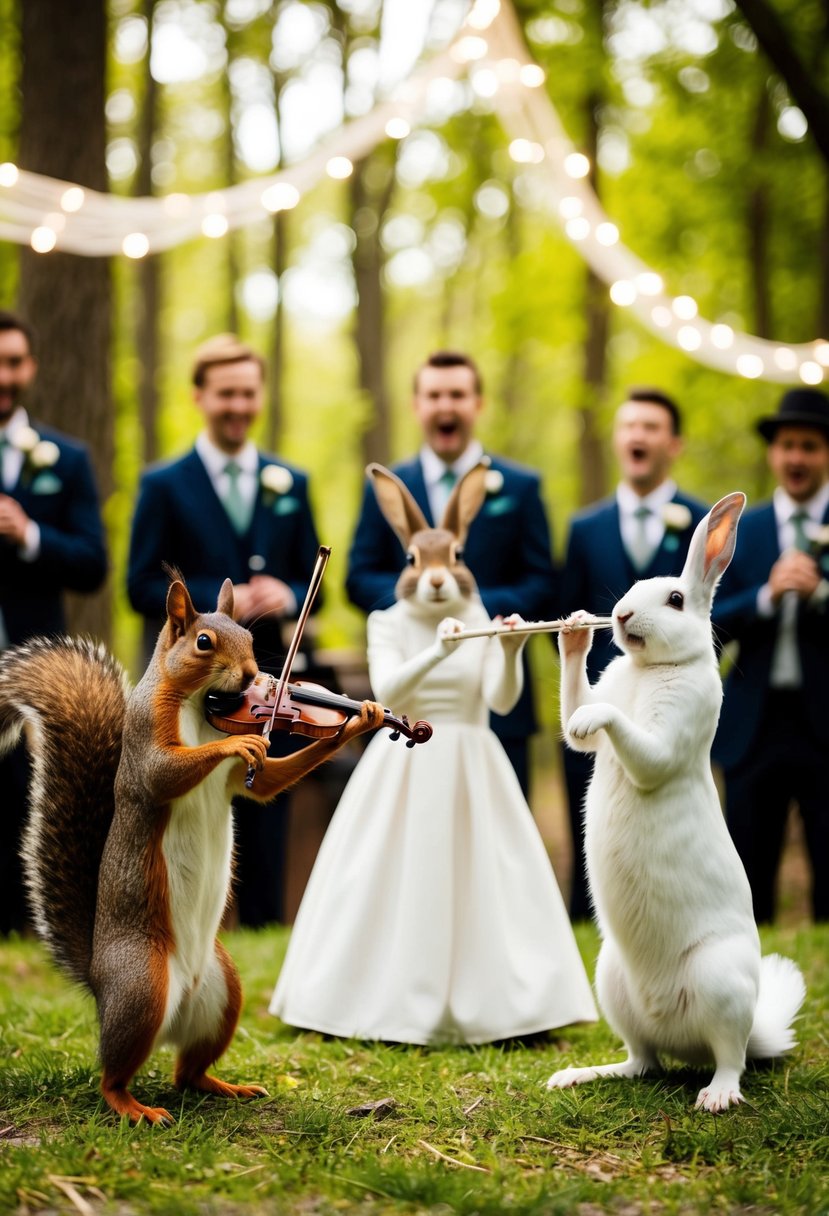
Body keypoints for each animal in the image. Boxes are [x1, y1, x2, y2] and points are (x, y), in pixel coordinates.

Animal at [0, 573, 381, 1123]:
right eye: (204, 642)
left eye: (249, 637)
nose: (257, 680)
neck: (203, 705)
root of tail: (98, 980)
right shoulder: (145, 744)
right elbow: (164, 772)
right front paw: (238, 742)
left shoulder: (242, 781)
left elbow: (263, 786)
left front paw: (362, 720)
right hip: (142, 988)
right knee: (112, 1075)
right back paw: (133, 1107)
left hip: (225, 992)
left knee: (188, 1072)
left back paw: (225, 1086)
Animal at [544, 493, 802, 1113]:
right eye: (634, 587)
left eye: (677, 600)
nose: (618, 617)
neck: (652, 667)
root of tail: (683, 1040)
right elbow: (575, 714)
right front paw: (572, 632)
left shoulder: (663, 742)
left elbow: (621, 732)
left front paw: (593, 718)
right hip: (611, 979)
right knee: (641, 1061)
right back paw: (579, 1075)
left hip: (721, 984)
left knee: (730, 1057)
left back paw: (716, 1097)